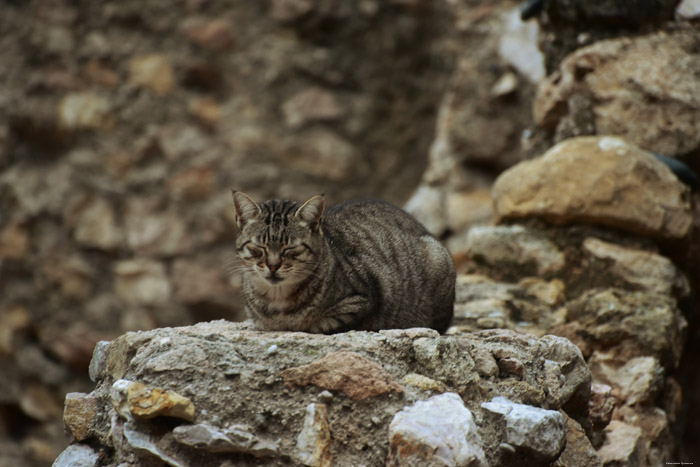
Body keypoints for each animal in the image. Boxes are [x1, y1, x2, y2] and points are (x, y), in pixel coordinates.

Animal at [232, 192, 456, 334]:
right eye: (259, 246)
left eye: (290, 248)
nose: (273, 265)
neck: (277, 300)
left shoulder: (365, 299)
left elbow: (325, 322)